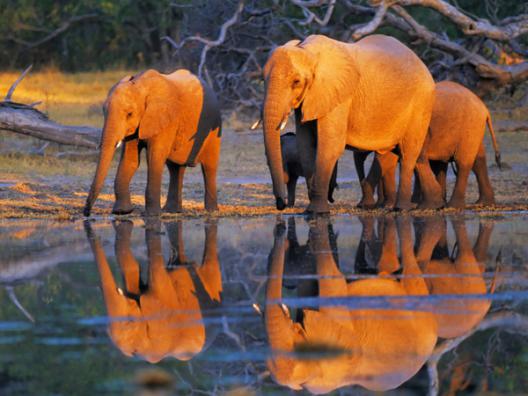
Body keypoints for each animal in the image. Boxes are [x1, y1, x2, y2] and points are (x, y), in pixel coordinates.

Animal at [260, 34, 442, 213]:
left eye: (296, 82)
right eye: (263, 79)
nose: (281, 205)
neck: (308, 50)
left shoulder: (339, 96)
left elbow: (330, 145)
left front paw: (316, 212)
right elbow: (305, 145)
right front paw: (312, 209)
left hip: (421, 103)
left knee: (407, 153)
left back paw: (401, 209)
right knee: (399, 154)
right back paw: (432, 205)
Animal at [356, 81, 502, 210]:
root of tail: (485, 108)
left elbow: (389, 159)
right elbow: (388, 159)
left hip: (470, 128)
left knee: (463, 164)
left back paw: (453, 206)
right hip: (474, 130)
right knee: (477, 161)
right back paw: (483, 203)